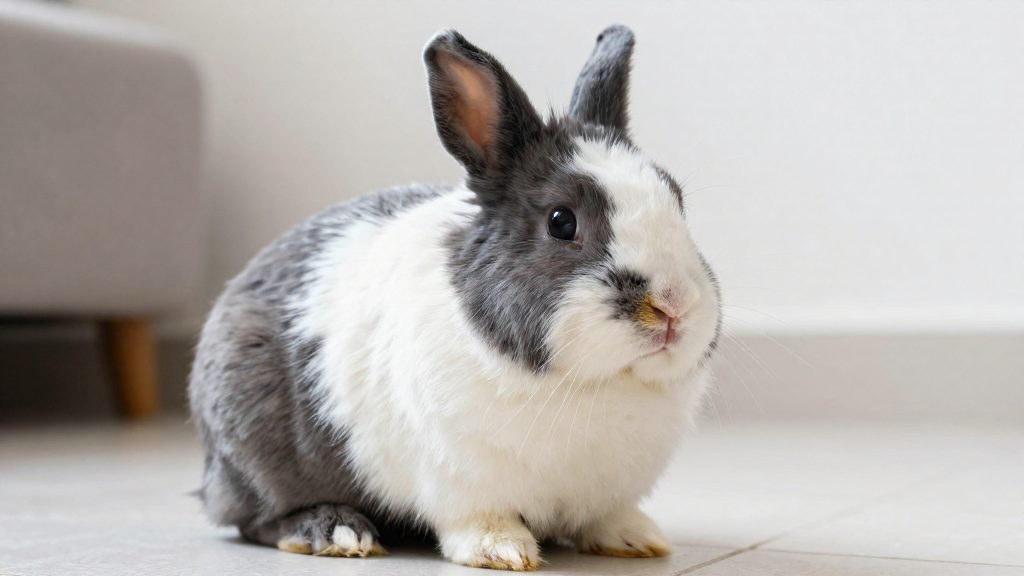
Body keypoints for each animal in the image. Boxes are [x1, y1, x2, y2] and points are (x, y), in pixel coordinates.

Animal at [189, 24, 721, 571]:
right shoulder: (462, 478)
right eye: (561, 221)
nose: (674, 305)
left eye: (676, 200)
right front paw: (502, 550)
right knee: (255, 519)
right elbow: (480, 517)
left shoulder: (606, 489)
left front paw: (637, 539)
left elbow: (607, 516)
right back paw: (336, 531)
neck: (595, 382)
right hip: (253, 450)